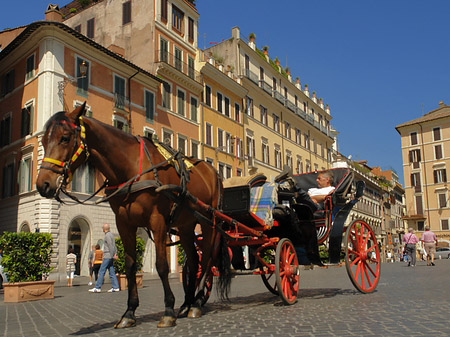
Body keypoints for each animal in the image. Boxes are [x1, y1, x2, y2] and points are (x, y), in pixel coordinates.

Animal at [36, 103, 230, 326]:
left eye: (65, 138)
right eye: (43, 140)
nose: (43, 184)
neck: (131, 168)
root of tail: (214, 172)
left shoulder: (158, 221)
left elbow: (161, 266)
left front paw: (168, 310)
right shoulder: (124, 224)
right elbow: (129, 266)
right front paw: (129, 312)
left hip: (209, 222)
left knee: (206, 259)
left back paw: (196, 304)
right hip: (186, 226)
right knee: (193, 261)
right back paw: (187, 304)